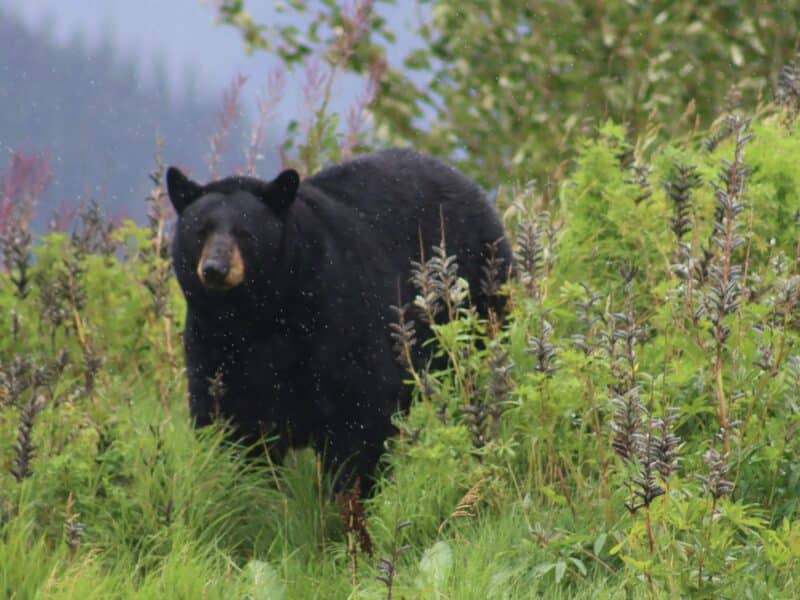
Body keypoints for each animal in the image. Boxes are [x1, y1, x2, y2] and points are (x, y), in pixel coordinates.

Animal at [166, 148, 512, 493]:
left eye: (245, 233)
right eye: (200, 231)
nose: (215, 268)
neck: (259, 317)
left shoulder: (338, 320)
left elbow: (361, 417)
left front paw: (351, 496)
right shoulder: (212, 345)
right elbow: (229, 424)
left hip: (477, 299)